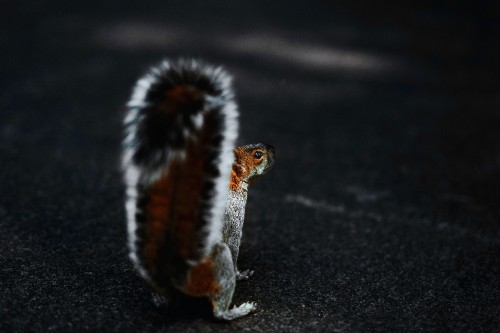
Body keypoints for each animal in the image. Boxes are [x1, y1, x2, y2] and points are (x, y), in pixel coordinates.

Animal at [122, 59, 276, 320]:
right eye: (257, 155)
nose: (271, 147)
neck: (231, 182)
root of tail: (175, 274)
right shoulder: (234, 214)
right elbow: (234, 244)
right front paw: (241, 274)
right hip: (217, 266)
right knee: (218, 308)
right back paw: (236, 311)